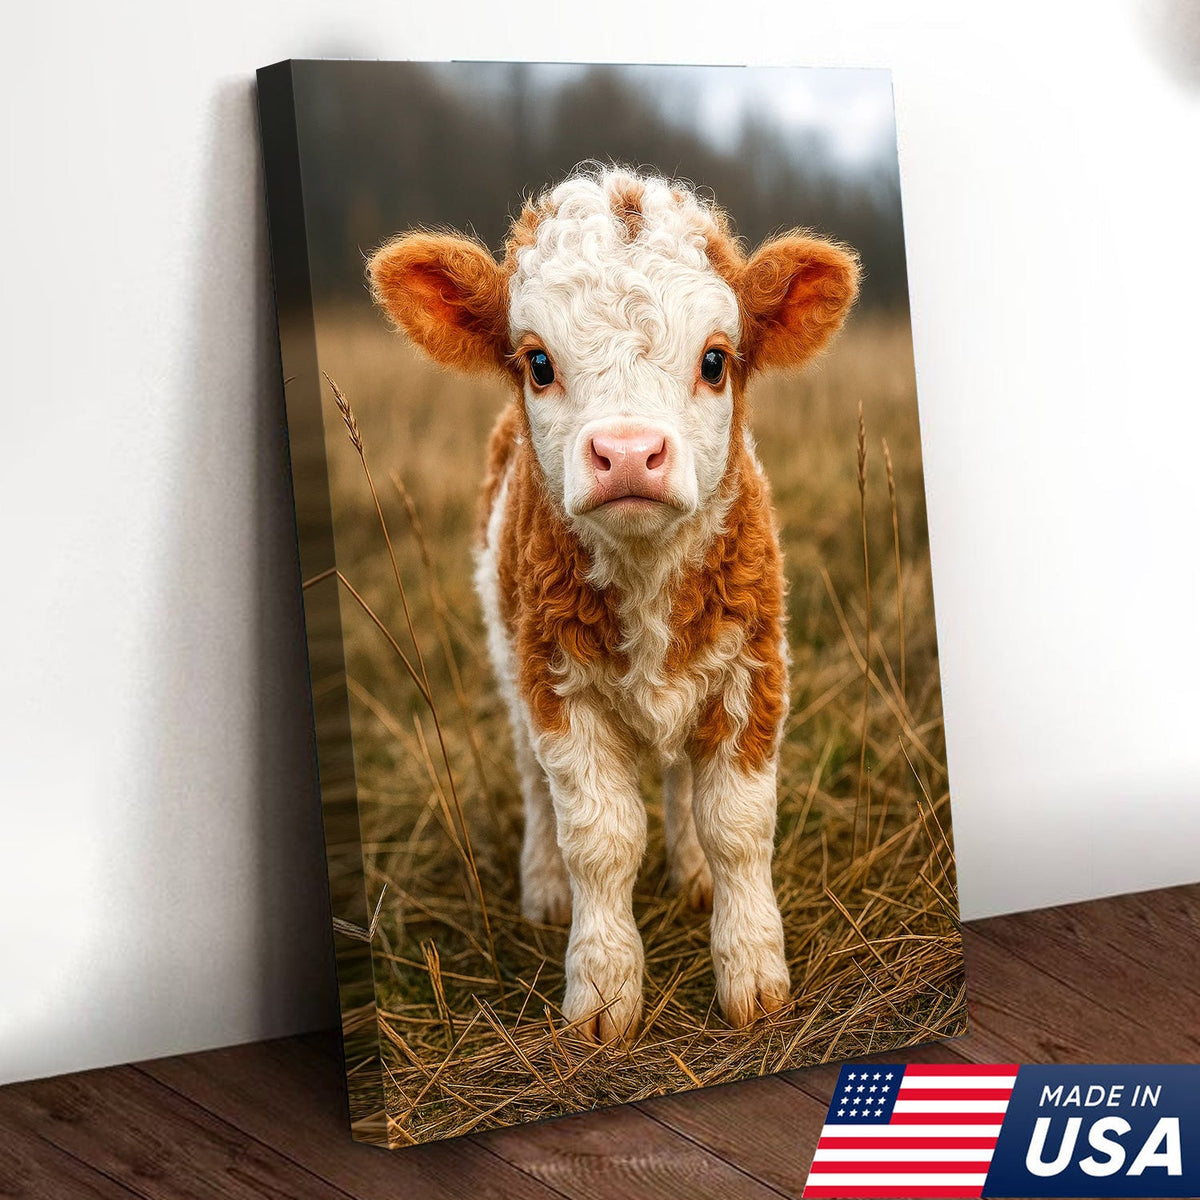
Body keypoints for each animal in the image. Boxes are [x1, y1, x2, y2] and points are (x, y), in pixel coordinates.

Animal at [369, 165, 859, 1044]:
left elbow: (737, 825)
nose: (628, 454)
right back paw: (543, 888)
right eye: (537, 363)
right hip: (507, 656)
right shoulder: (557, 684)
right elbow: (599, 838)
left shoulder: (756, 668)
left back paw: (691, 874)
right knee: (533, 781)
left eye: (715, 360)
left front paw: (753, 976)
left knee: (682, 781)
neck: (647, 573)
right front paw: (602, 992)